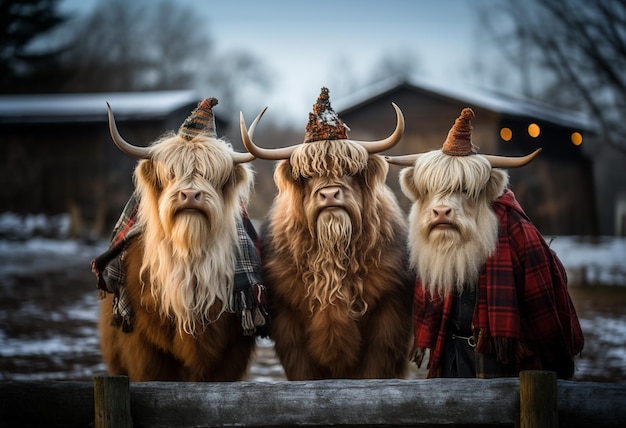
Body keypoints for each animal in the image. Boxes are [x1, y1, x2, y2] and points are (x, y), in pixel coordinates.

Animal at [239, 86, 414, 378]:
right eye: (307, 175)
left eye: (350, 170)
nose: (330, 194)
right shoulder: (289, 325)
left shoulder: (389, 318)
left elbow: (375, 370)